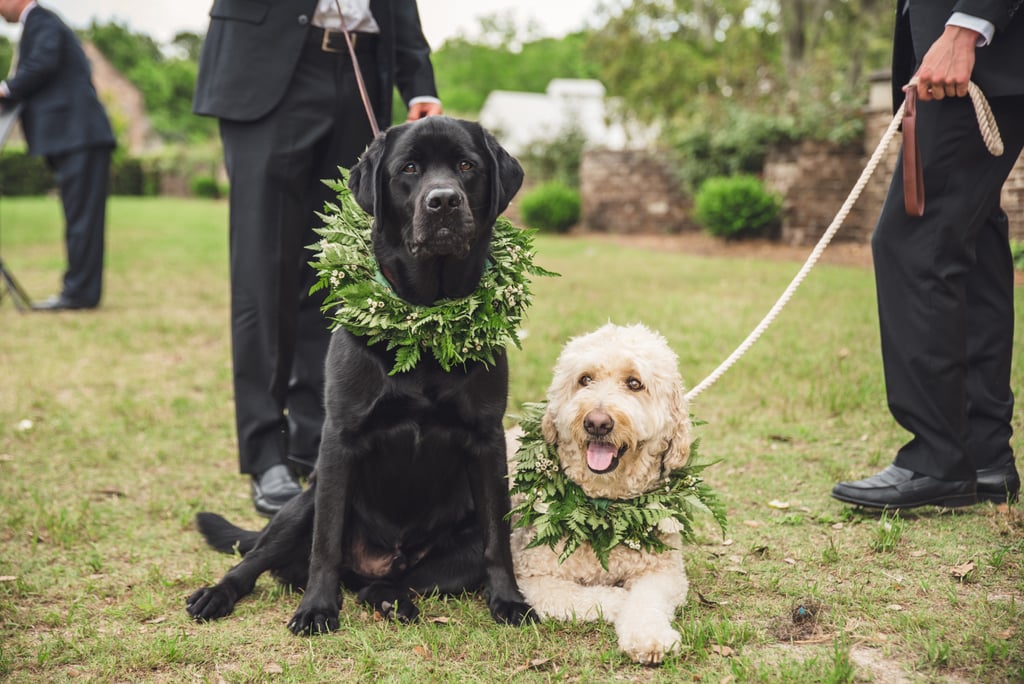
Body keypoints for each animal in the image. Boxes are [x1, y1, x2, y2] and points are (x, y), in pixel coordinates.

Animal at [186, 117, 536, 634]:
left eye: (466, 166)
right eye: (409, 169)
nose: (443, 201)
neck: (425, 319)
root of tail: (376, 562)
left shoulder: (487, 441)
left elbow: (499, 539)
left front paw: (509, 600)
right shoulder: (339, 439)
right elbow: (326, 543)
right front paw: (316, 608)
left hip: (452, 550)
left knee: (396, 581)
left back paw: (392, 599)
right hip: (302, 504)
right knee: (255, 560)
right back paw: (220, 593)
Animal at [507, 323, 692, 663]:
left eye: (634, 383)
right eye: (585, 379)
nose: (596, 422)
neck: (604, 506)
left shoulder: (663, 570)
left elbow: (646, 599)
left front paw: (649, 637)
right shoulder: (533, 579)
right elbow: (591, 596)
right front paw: (619, 599)